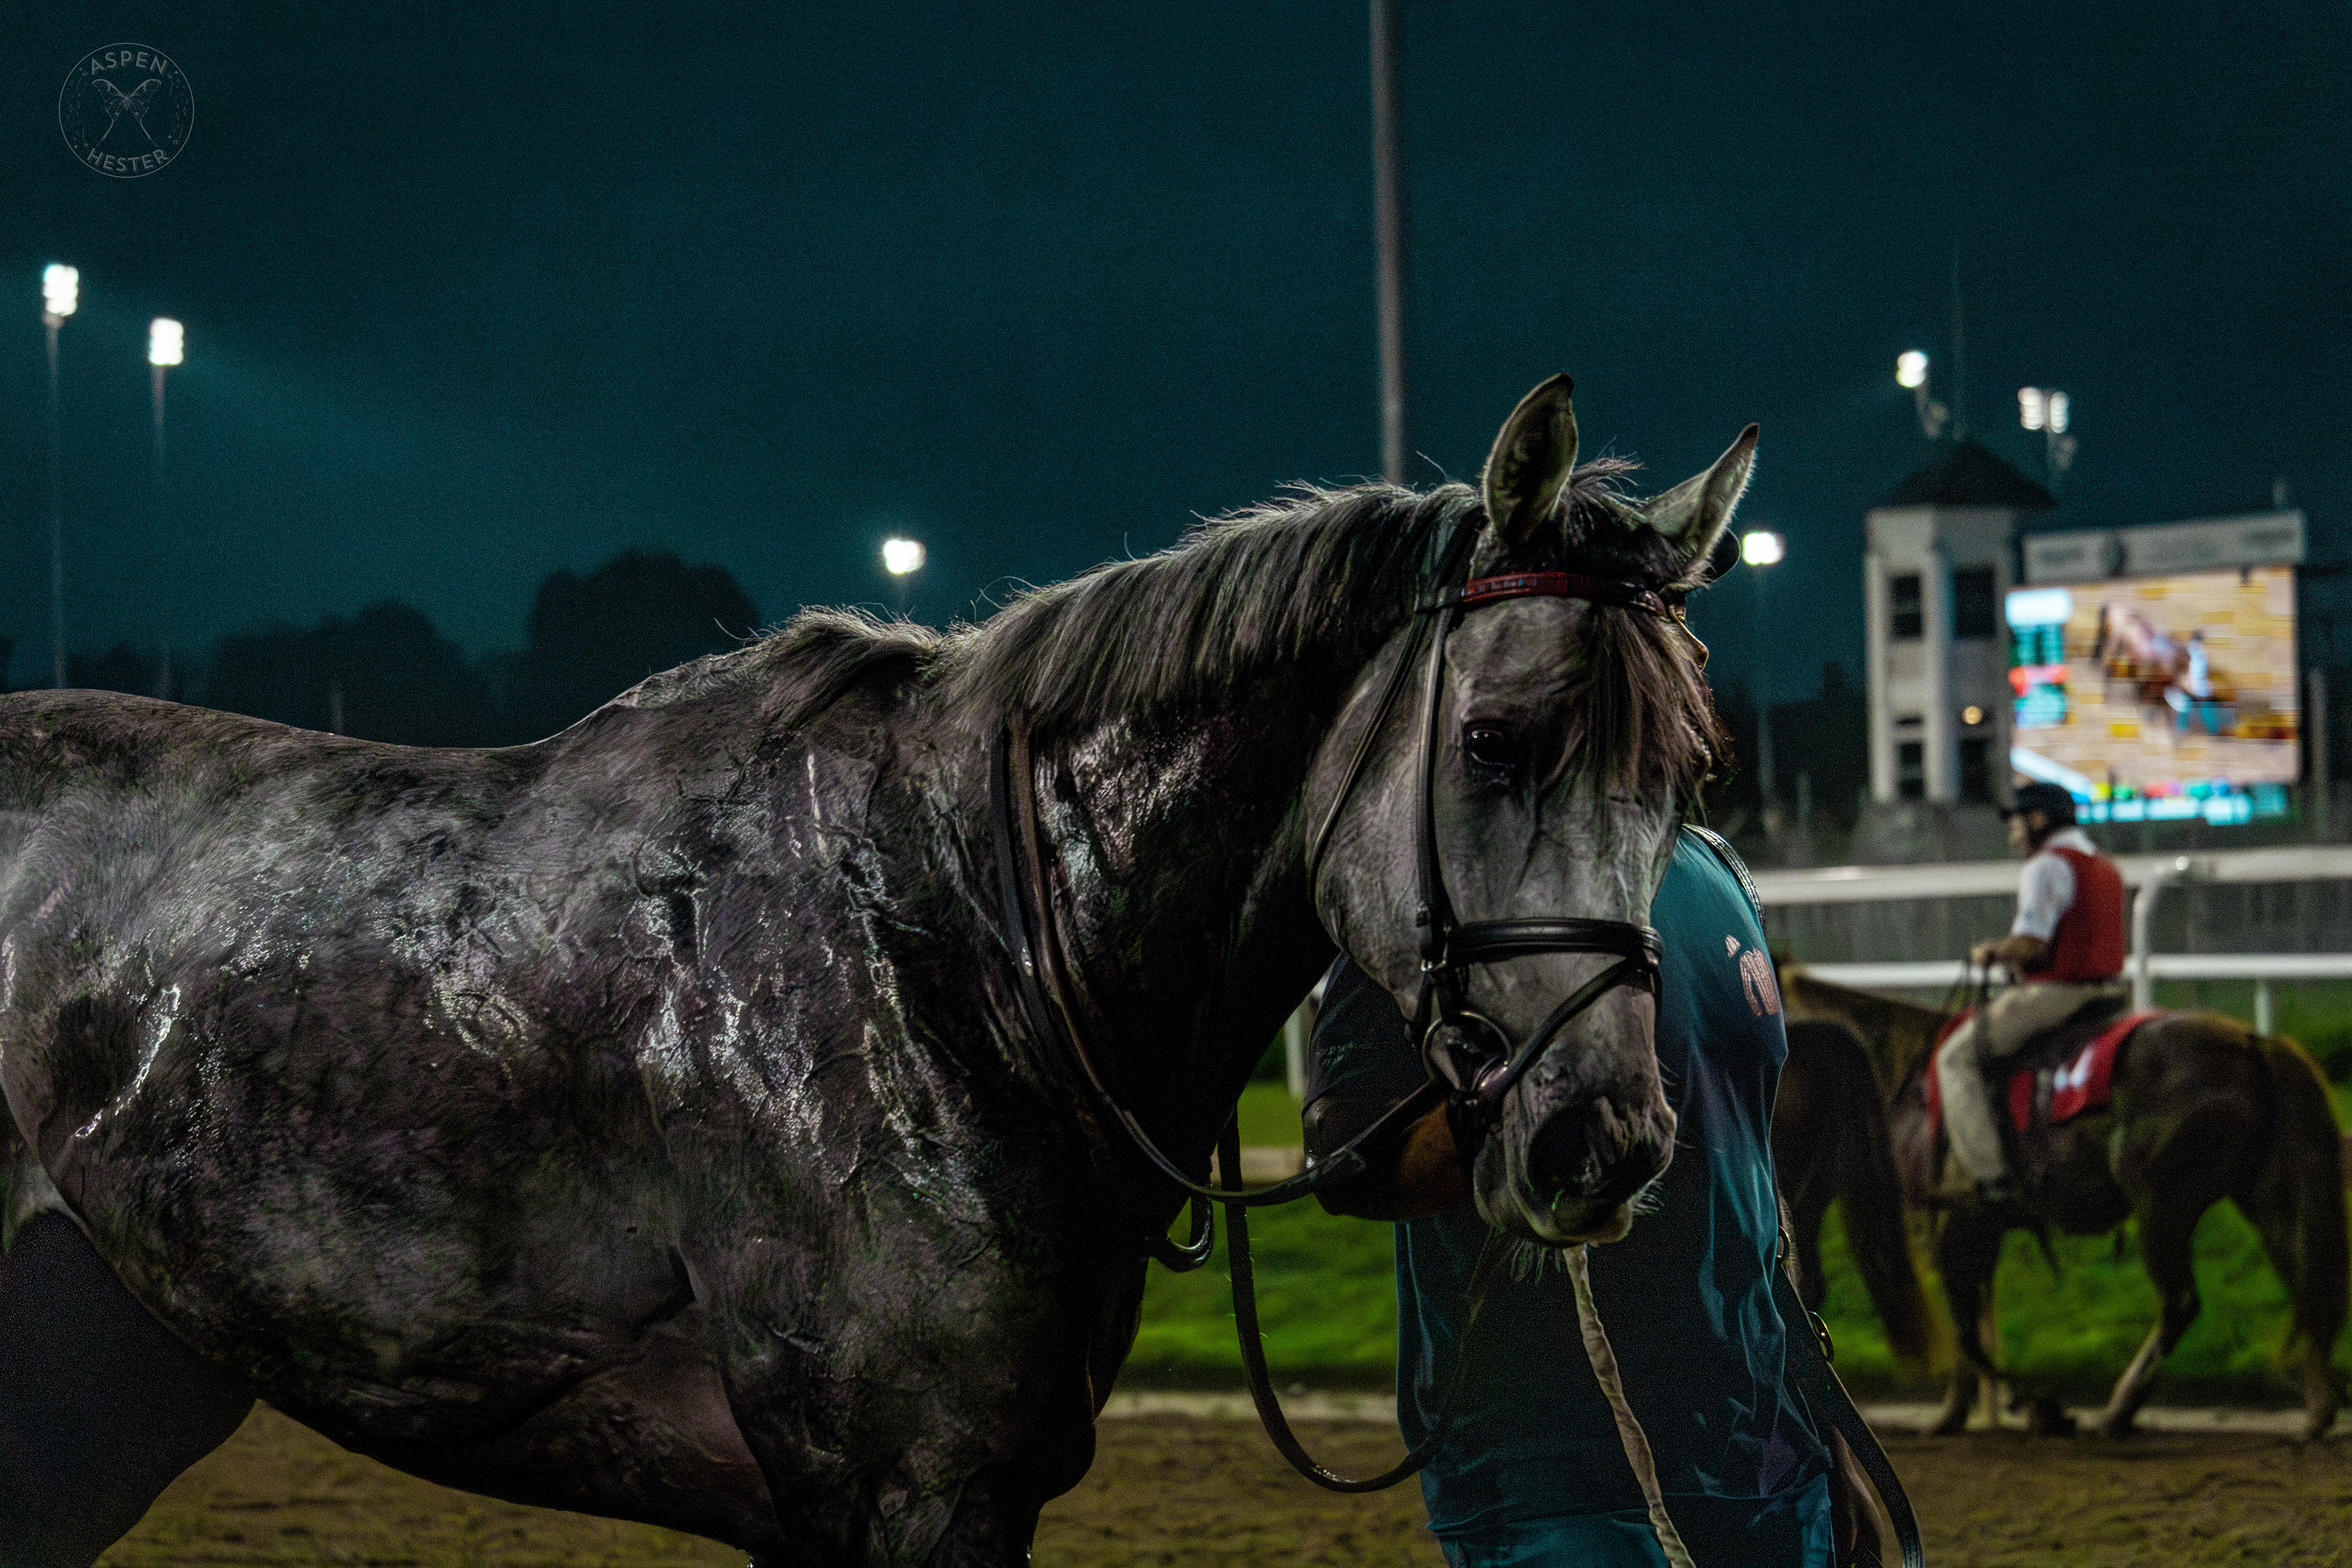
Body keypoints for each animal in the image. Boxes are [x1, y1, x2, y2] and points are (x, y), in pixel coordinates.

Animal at [1780, 970, 2347, 1441]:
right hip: (2263, 1198)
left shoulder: (1960, 1220)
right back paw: (2318, 1406)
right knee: (2303, 1279)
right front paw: (1966, 1411)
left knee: (2182, 1303)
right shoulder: (1981, 1225)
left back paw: (2117, 1410)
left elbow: (1966, 1327)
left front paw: (2035, 1407)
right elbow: (1968, 1324)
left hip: (2162, 1208)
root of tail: (2251, 1042)